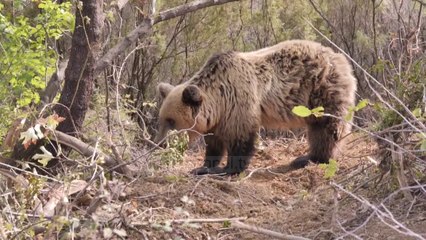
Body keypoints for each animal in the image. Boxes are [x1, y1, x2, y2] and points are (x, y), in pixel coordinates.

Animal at [156, 39, 356, 174]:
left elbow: (241, 138)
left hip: (320, 90)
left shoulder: (238, 101)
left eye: (172, 121)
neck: (219, 97)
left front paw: (228, 169)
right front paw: (203, 167)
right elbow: (214, 143)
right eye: (162, 120)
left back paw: (312, 158)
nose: (160, 143)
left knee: (326, 127)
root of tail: (341, 58)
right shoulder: (219, 118)